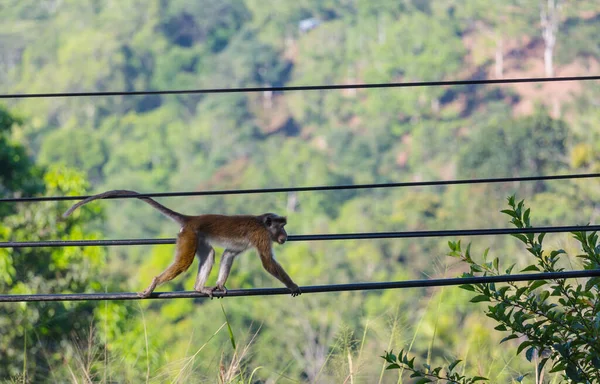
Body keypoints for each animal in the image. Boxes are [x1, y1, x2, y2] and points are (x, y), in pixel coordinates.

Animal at [63, 190, 302, 298]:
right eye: (280, 226)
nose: (286, 234)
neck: (263, 224)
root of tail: (191, 219)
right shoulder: (261, 236)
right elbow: (268, 262)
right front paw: (292, 285)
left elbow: (229, 254)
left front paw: (220, 284)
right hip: (188, 236)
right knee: (184, 262)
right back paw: (155, 283)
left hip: (197, 237)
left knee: (210, 254)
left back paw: (199, 287)